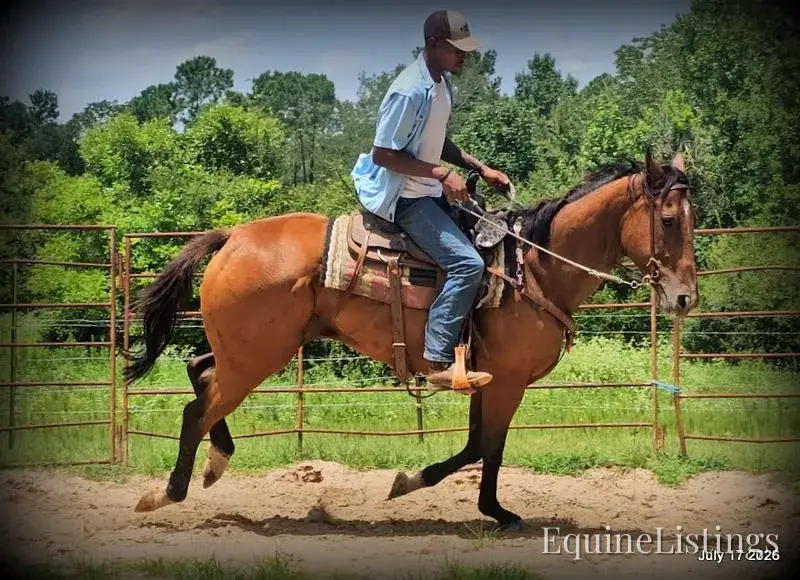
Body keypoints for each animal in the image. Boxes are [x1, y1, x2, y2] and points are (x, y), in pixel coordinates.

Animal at [124, 150, 698, 531]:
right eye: (669, 220)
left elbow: (479, 445)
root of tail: (233, 236)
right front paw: (452, 497)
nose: (685, 297)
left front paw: (477, 504)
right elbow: (485, 446)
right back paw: (166, 494)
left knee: (198, 371)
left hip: (247, 350)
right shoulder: (508, 381)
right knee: (197, 409)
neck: (533, 267)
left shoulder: (487, 378)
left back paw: (215, 464)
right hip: (254, 359)